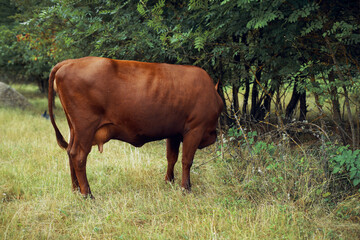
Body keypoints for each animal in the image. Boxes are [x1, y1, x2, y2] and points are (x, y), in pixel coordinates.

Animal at [47, 56, 222, 197]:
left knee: (70, 152)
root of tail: (70, 62)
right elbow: (187, 160)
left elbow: (172, 157)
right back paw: (88, 194)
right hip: (85, 127)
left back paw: (76, 190)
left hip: (74, 129)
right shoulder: (195, 129)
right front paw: (186, 189)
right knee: (78, 156)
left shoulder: (174, 133)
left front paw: (169, 181)